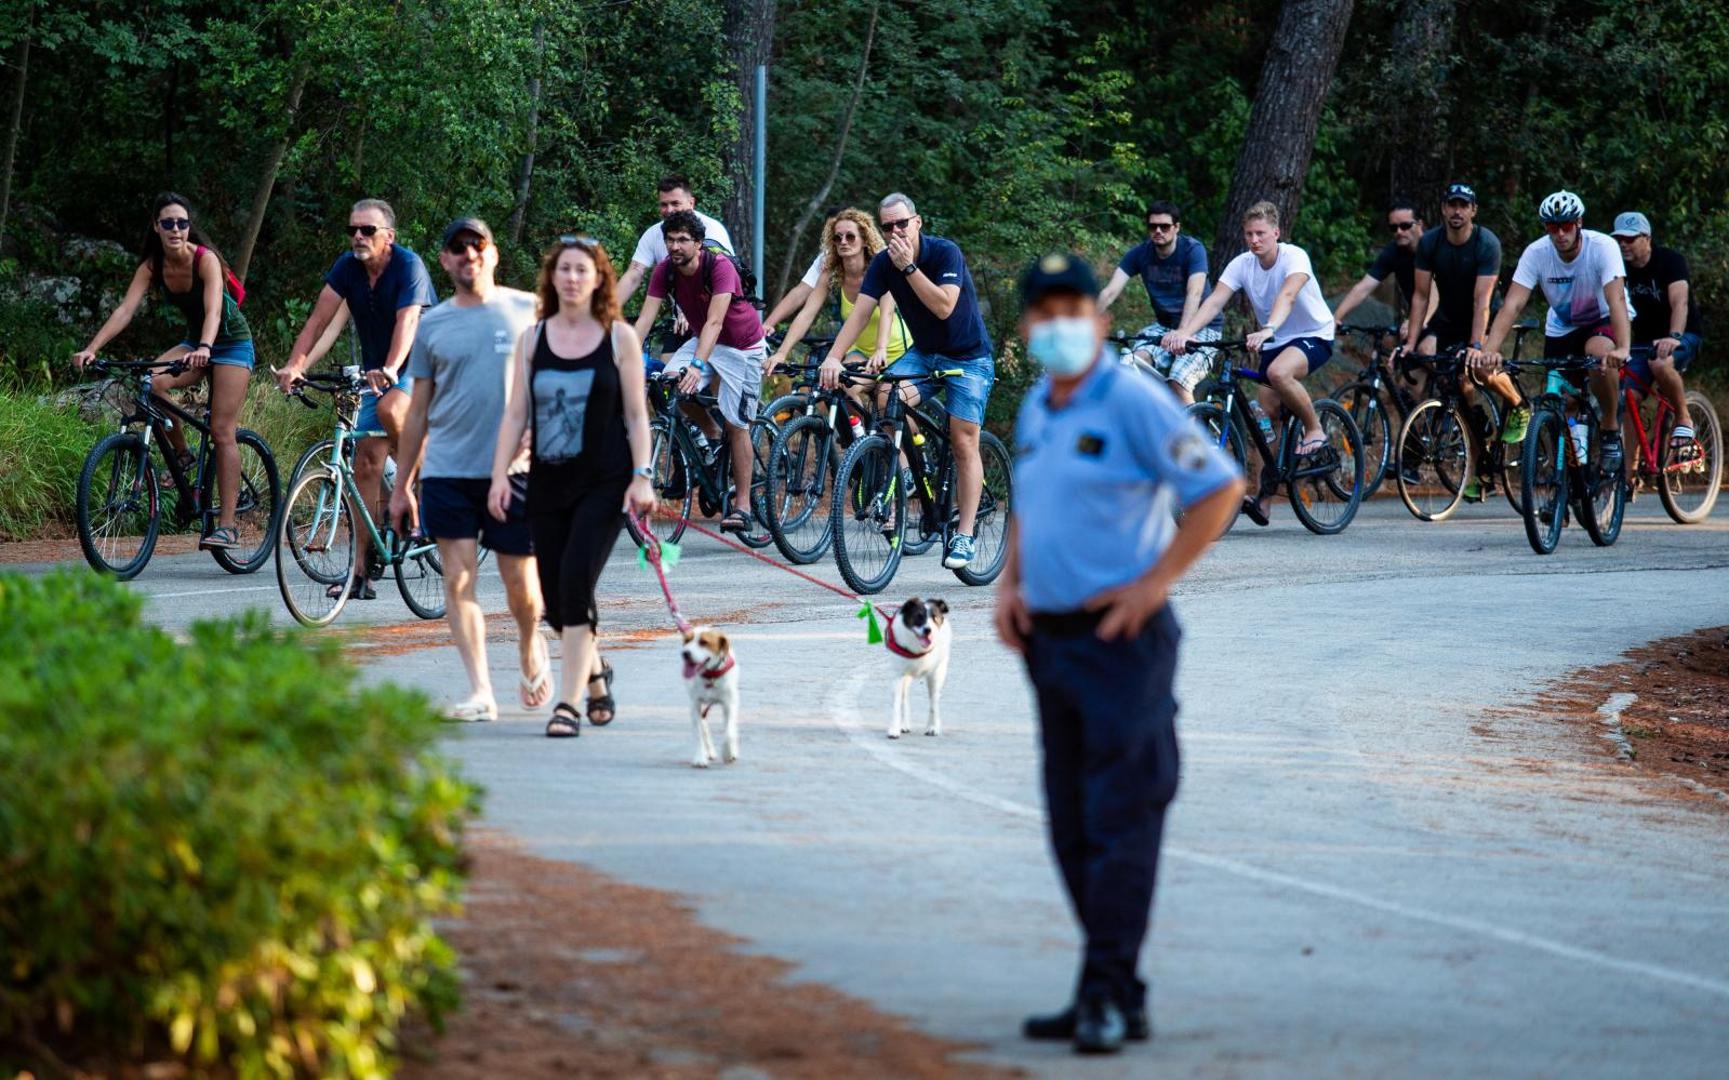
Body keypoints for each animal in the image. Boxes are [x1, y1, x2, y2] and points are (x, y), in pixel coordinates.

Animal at [677, 622, 740, 767]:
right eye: (686, 641)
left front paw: (728, 753)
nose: (685, 653)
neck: (710, 676)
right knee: (704, 728)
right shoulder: (695, 705)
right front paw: (700, 757)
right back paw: (709, 752)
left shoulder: (729, 704)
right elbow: (698, 734)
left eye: (703, 642)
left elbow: (729, 732)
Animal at [885, 594, 954, 736]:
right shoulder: (898, 674)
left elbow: (933, 703)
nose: (928, 630)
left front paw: (933, 727)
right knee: (904, 698)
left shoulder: (935, 675)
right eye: (919, 616)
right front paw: (894, 729)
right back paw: (904, 725)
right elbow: (896, 703)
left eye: (935, 617)